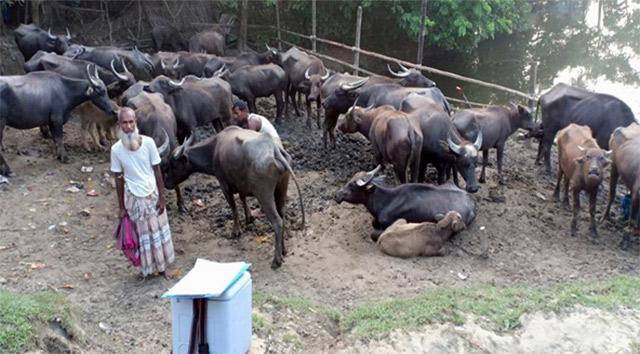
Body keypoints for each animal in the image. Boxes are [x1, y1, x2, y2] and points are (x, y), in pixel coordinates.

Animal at [164, 127, 306, 268]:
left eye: (172, 165)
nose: (166, 184)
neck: (214, 150)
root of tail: (274, 148)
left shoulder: (224, 185)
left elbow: (233, 207)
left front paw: (236, 230)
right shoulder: (241, 184)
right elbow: (242, 198)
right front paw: (249, 217)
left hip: (264, 195)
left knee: (277, 222)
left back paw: (276, 260)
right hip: (281, 188)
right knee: (282, 215)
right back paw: (283, 250)